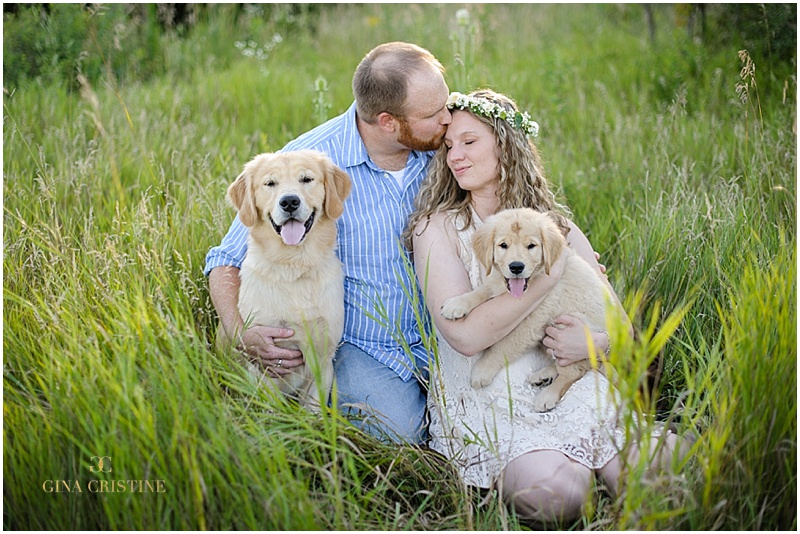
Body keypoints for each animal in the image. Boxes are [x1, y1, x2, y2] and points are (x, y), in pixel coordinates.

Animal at [223, 151, 352, 410]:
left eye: (306, 179)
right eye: (270, 183)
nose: (290, 202)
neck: (294, 266)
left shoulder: (323, 360)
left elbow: (314, 410)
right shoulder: (266, 361)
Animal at [440, 209, 608, 414]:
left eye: (531, 246)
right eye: (503, 245)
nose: (516, 267)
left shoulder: (532, 321)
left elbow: (503, 346)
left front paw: (482, 370)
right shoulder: (497, 285)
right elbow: (481, 291)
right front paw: (458, 303)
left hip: (572, 326)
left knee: (576, 370)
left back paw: (548, 395)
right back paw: (543, 375)